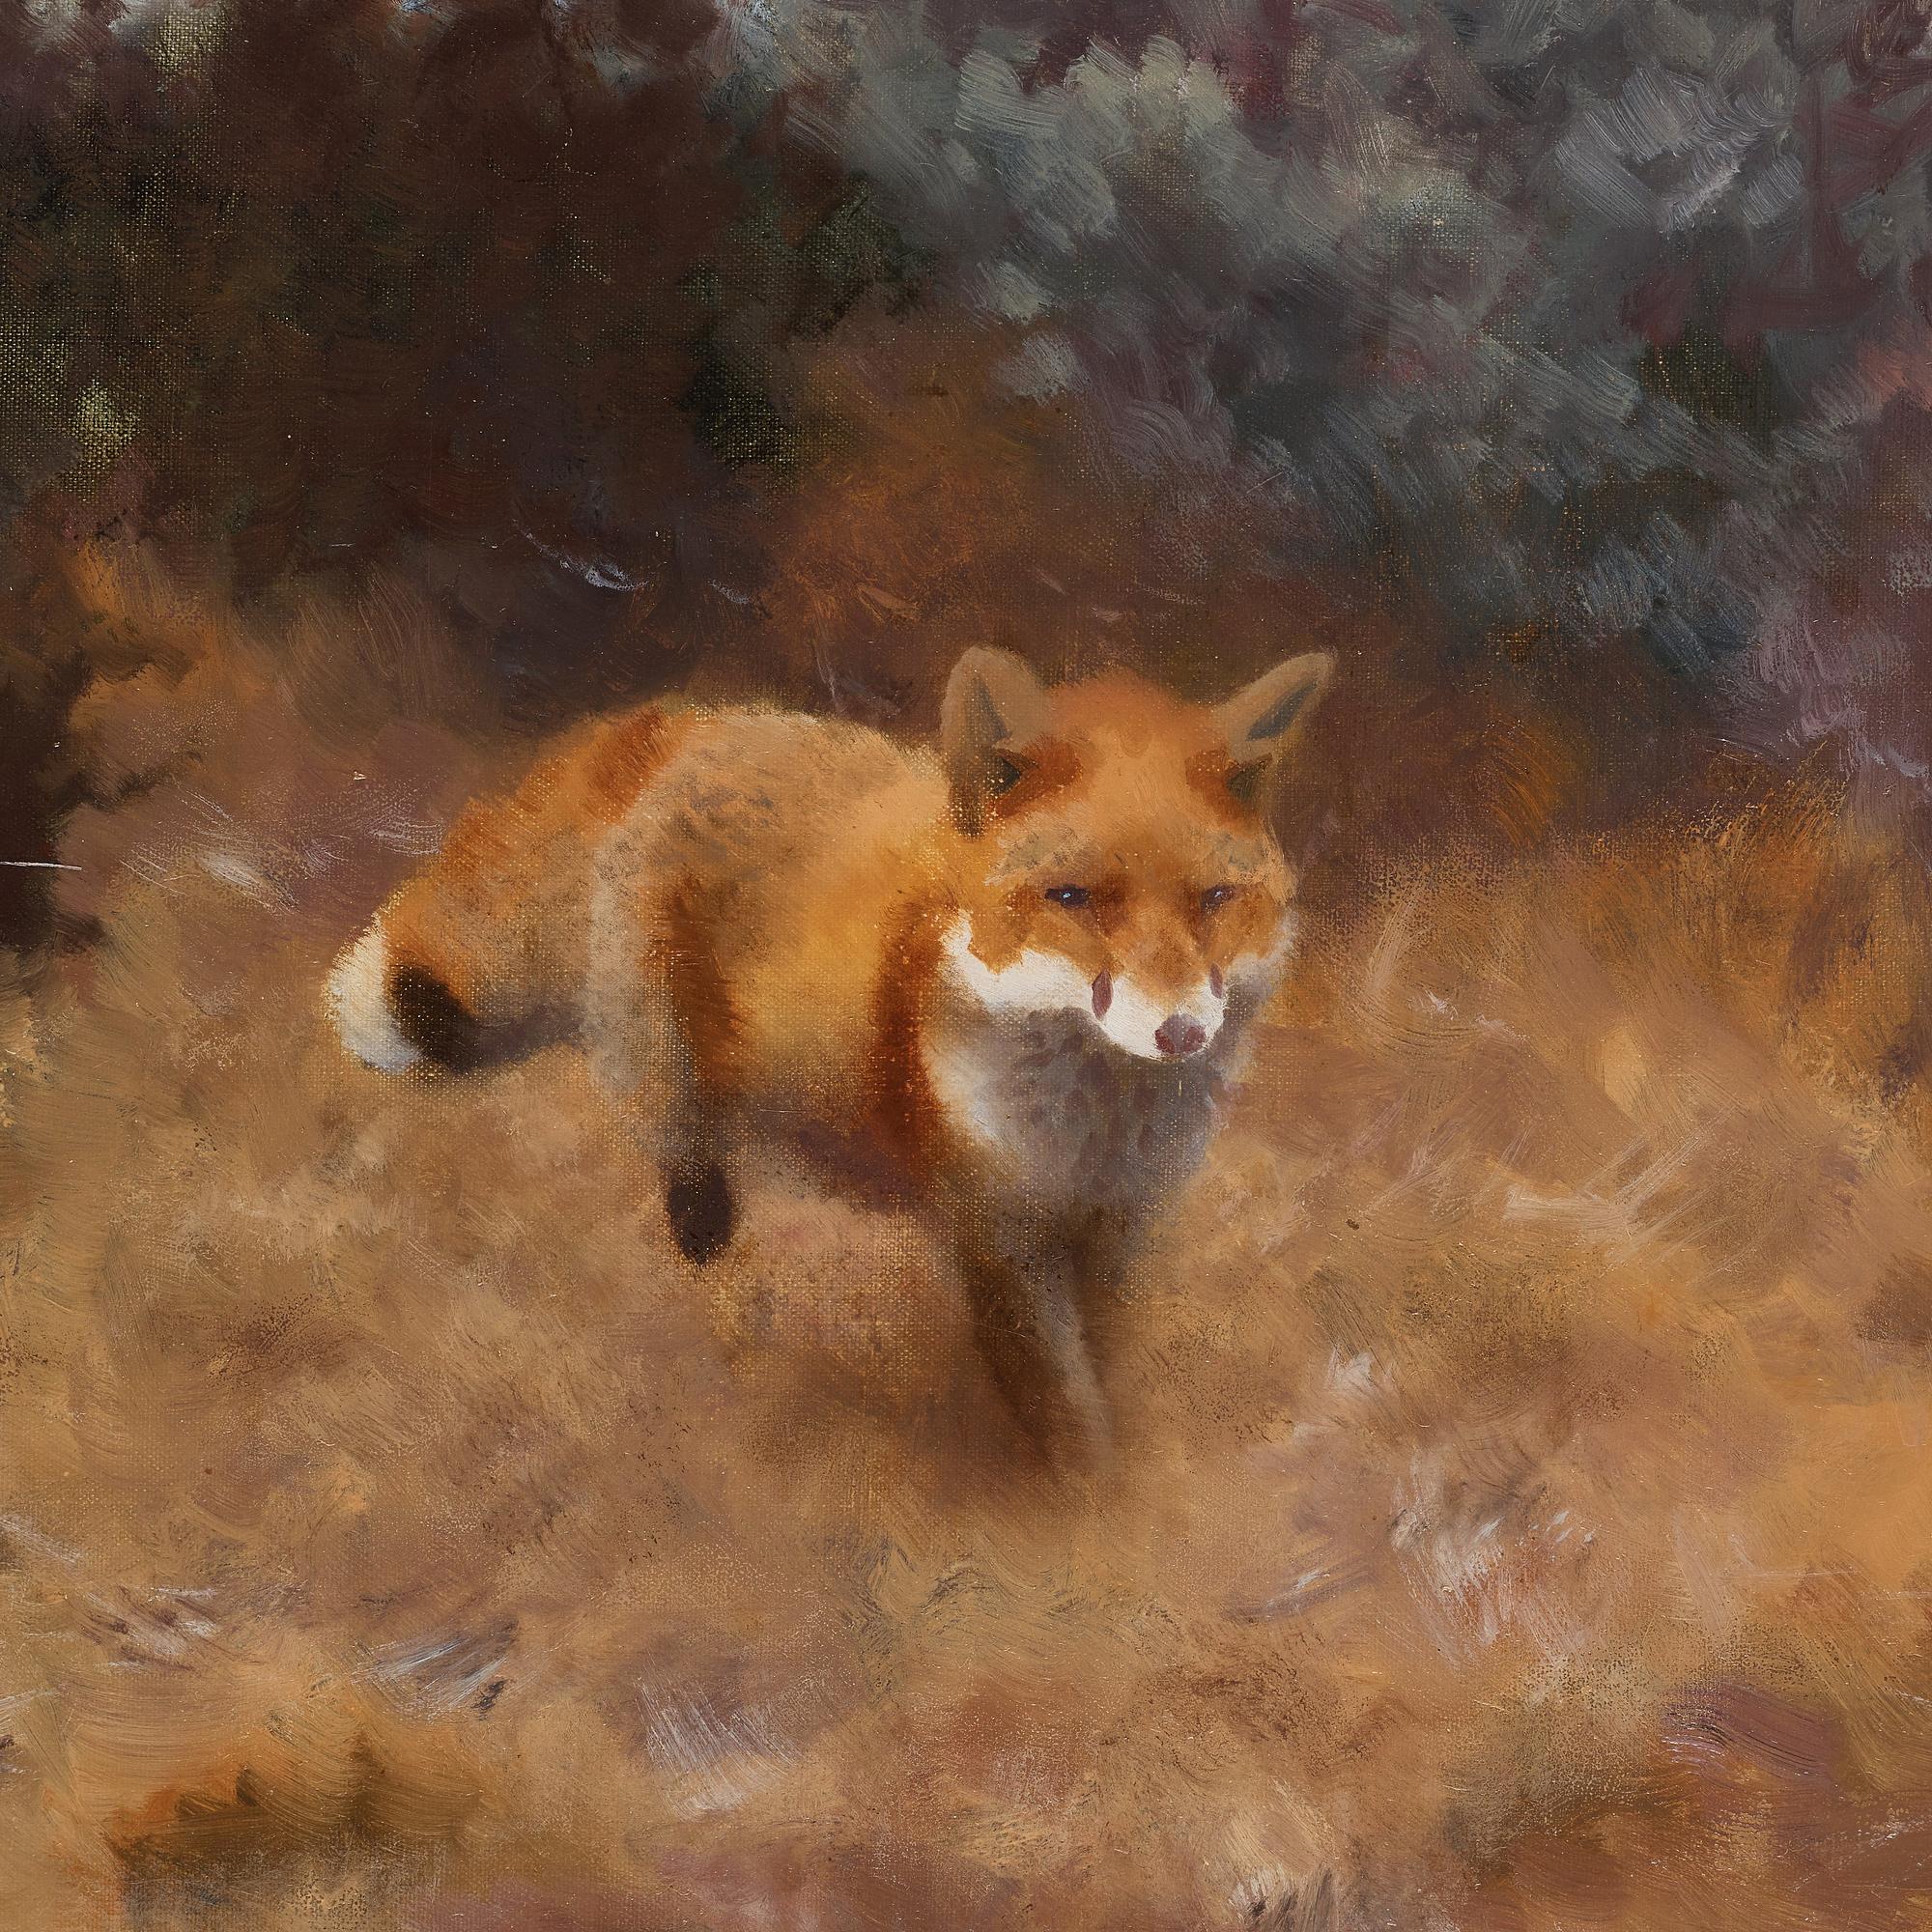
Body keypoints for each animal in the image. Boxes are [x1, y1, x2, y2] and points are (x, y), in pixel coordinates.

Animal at [327, 646, 1334, 1463]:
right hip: (655, 1038)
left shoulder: (1124, 1223)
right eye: (1075, 899)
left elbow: (1109, 1368)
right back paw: (708, 1234)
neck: (1094, 1133)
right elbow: (1065, 1410)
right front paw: (1089, 1511)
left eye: (1213, 900)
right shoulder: (1000, 1239)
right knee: (675, 1131)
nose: (1180, 1034)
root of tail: (698, 721)